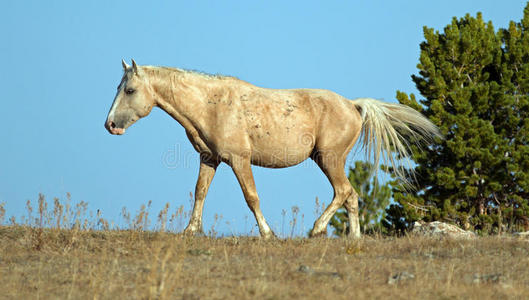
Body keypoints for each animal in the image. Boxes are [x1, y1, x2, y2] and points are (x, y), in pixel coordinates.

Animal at [105, 59, 440, 239]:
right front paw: (190, 230)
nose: (110, 125)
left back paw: (317, 229)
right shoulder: (209, 159)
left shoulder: (239, 160)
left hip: (329, 158)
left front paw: (267, 233)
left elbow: (251, 197)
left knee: (344, 191)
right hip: (328, 160)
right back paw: (354, 236)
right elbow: (200, 192)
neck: (212, 105)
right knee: (352, 196)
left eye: (130, 90)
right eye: (119, 87)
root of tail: (354, 106)